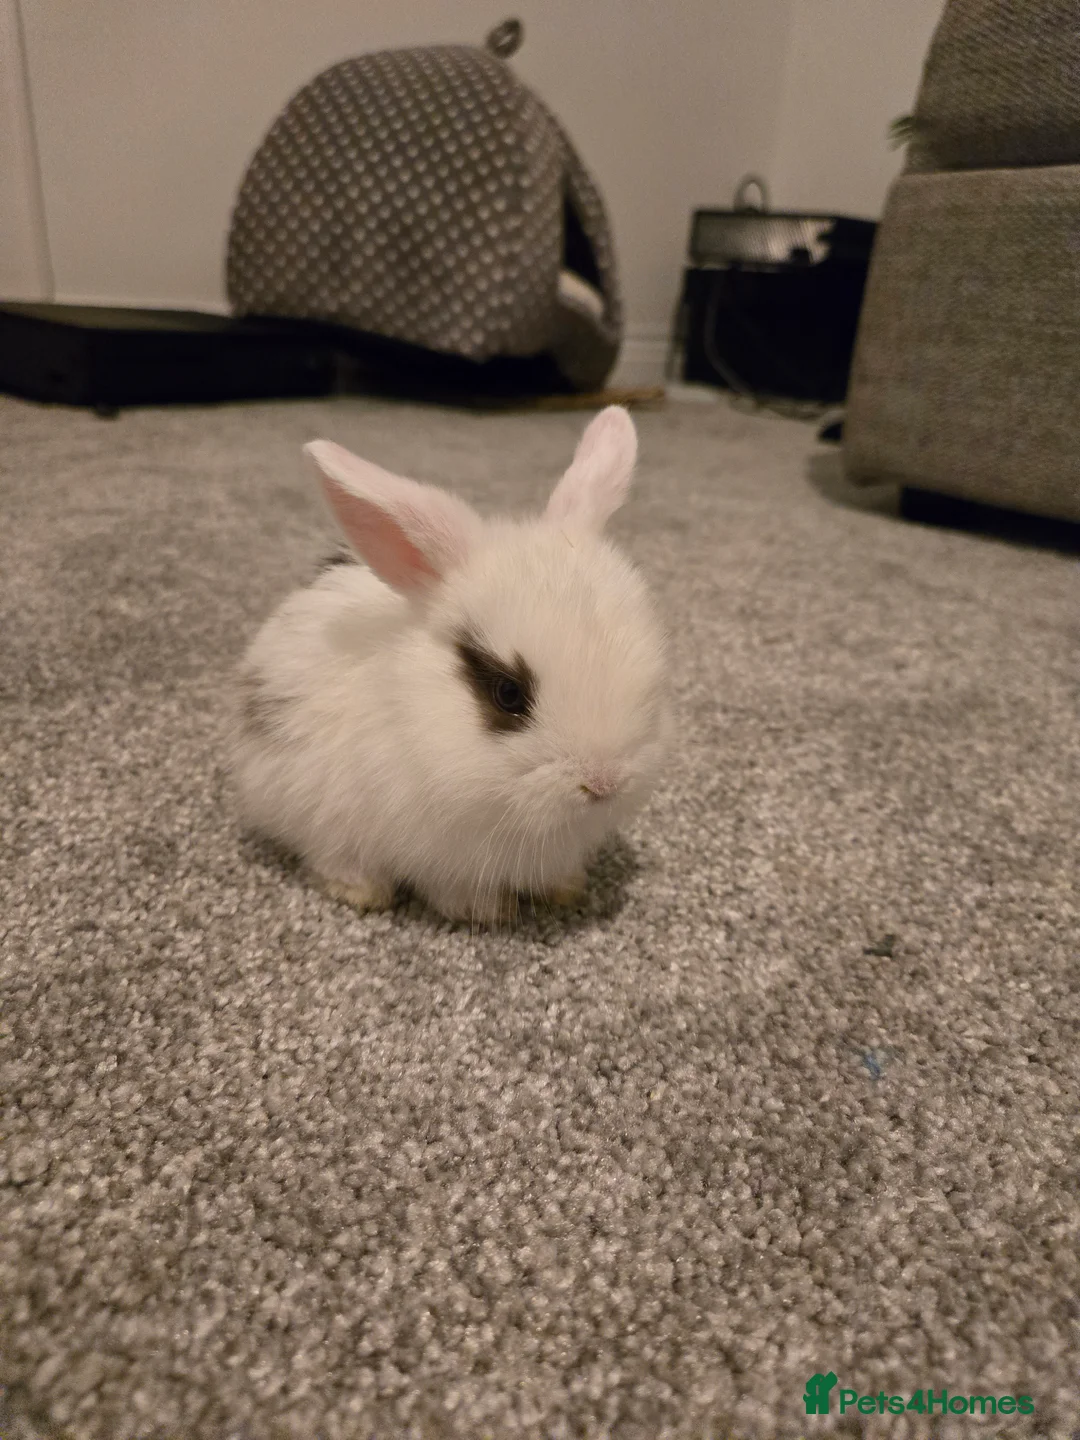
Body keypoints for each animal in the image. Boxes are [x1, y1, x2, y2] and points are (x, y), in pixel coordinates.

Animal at [231, 406, 671, 925]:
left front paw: (568, 890)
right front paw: (489, 910)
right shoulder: (437, 858)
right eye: (508, 692)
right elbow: (451, 890)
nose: (603, 784)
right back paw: (360, 891)